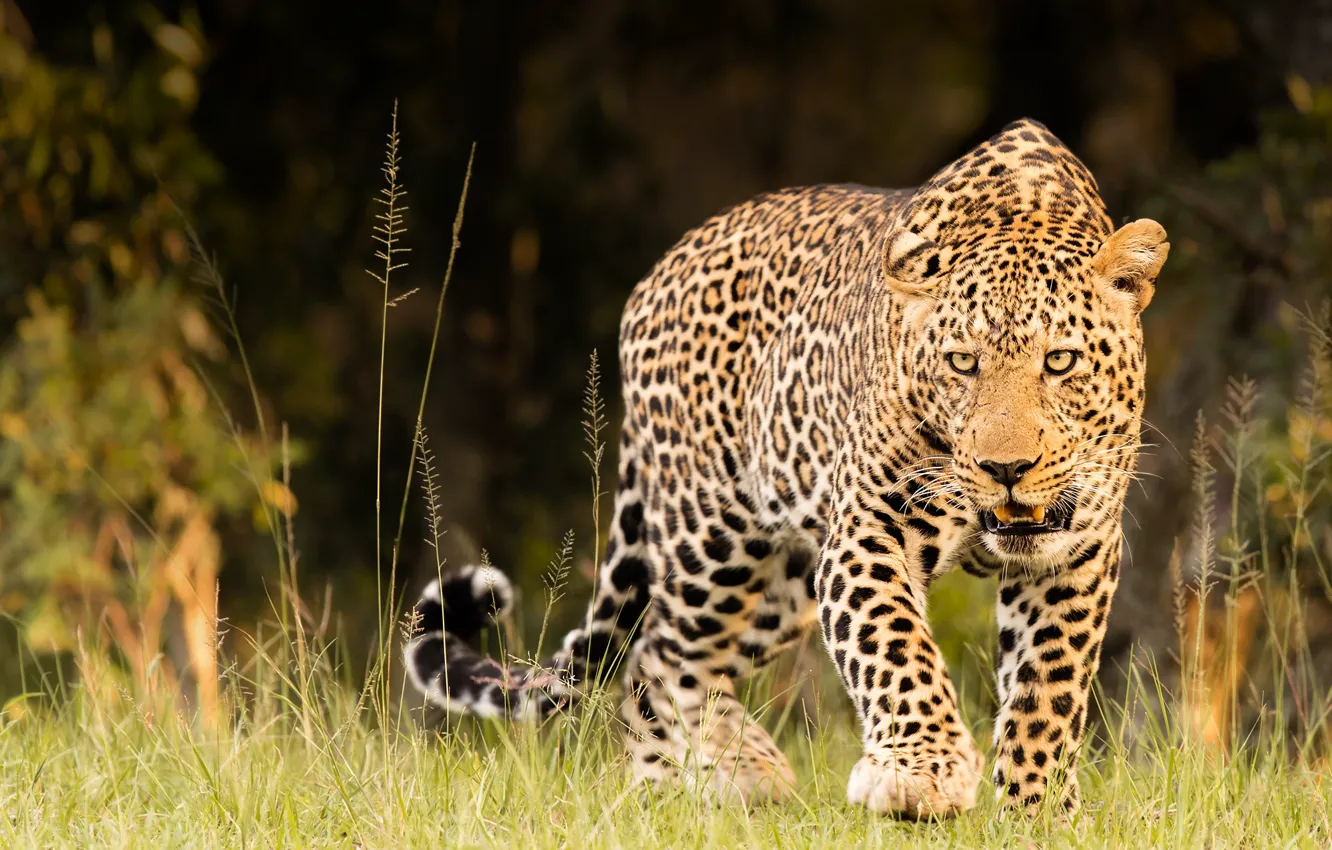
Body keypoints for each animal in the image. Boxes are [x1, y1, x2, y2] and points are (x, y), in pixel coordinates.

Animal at [403, 118, 1169, 818]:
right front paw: (923, 773)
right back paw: (704, 784)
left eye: (1060, 361)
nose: (1005, 467)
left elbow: (1050, 687)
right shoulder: (872, 528)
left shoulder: (1076, 552)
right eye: (961, 363)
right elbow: (894, 644)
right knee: (663, 656)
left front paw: (1037, 810)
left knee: (665, 654)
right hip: (714, 540)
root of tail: (658, 272)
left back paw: (706, 778)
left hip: (785, 583)